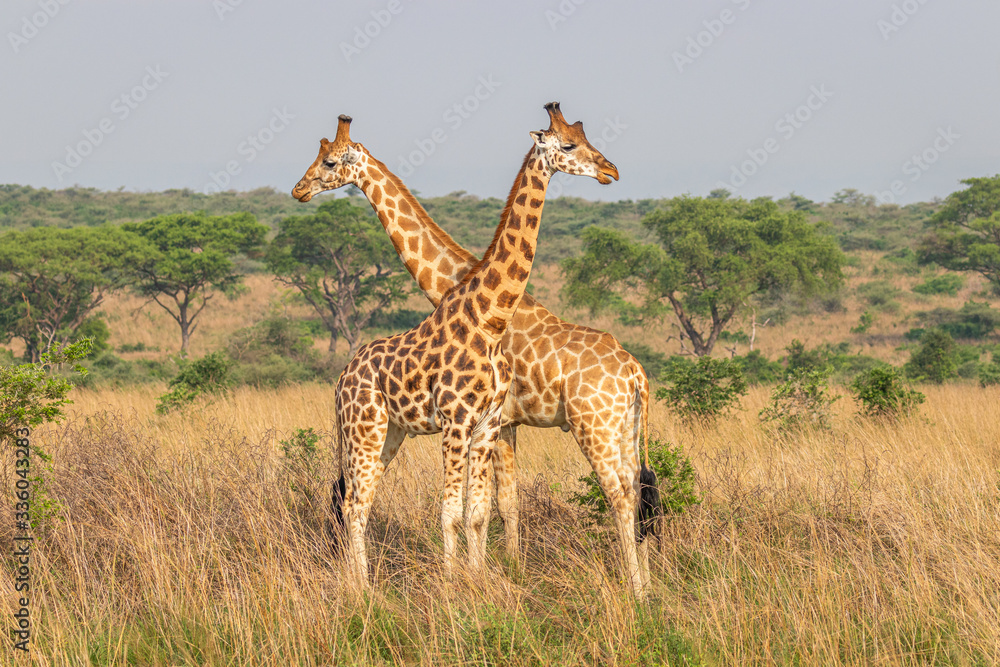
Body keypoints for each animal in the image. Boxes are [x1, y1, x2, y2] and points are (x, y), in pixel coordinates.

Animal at [293, 107, 659, 597]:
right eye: (569, 144)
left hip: (597, 425)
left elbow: (486, 507)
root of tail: (636, 372)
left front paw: (486, 577)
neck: (463, 290)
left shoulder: (494, 421)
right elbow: (492, 507)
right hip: (615, 427)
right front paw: (489, 577)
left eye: (329, 162)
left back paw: (637, 588)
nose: (299, 189)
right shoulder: (492, 424)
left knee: (622, 494)